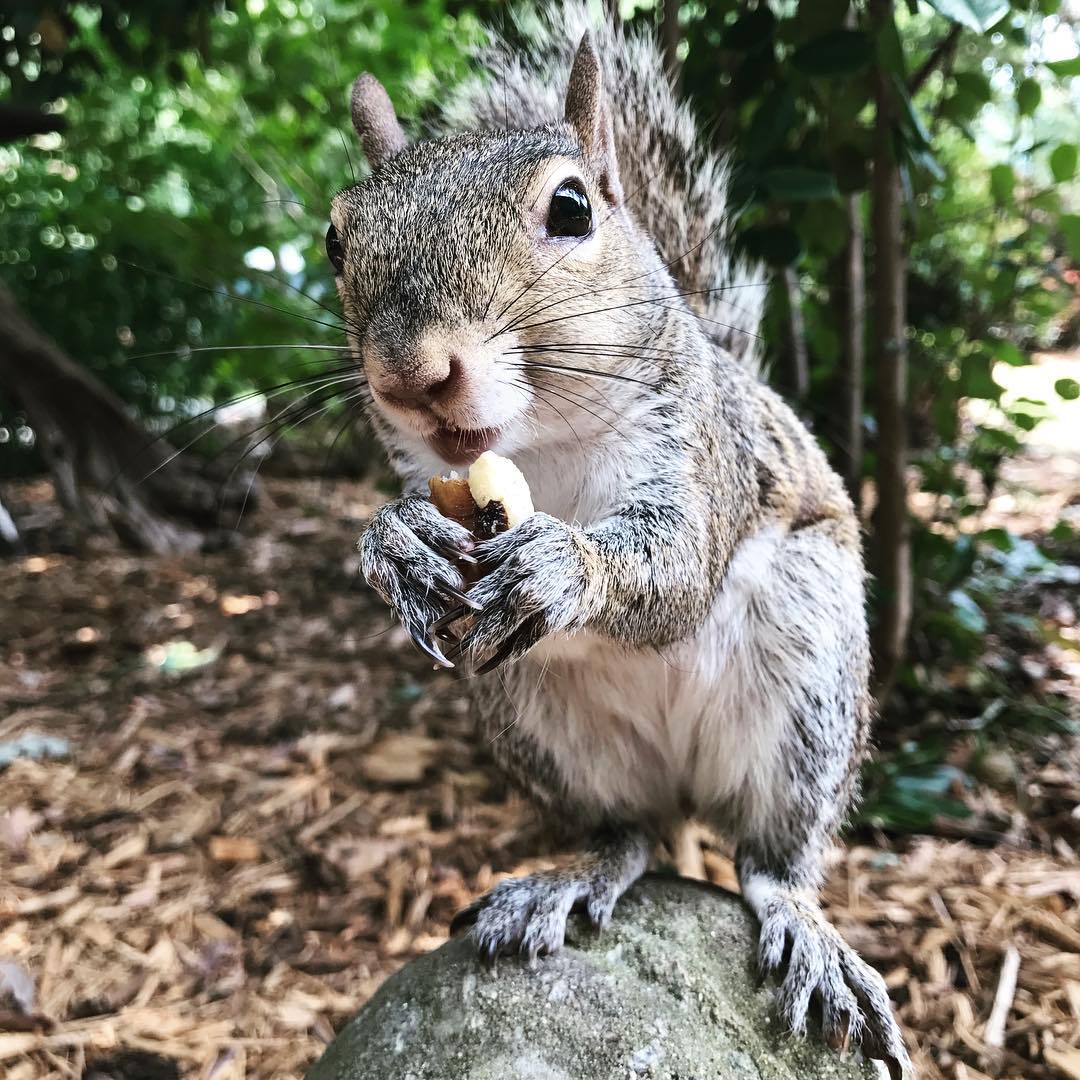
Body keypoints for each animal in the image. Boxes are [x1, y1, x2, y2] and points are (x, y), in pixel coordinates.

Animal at [328, 4, 911, 1075]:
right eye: (336, 238)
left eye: (571, 209)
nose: (410, 375)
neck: (542, 450)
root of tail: (682, 788)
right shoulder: (423, 470)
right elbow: (401, 518)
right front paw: (392, 547)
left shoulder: (704, 457)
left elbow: (674, 571)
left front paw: (569, 565)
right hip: (542, 722)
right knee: (627, 836)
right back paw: (572, 876)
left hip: (807, 686)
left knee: (774, 859)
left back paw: (803, 925)